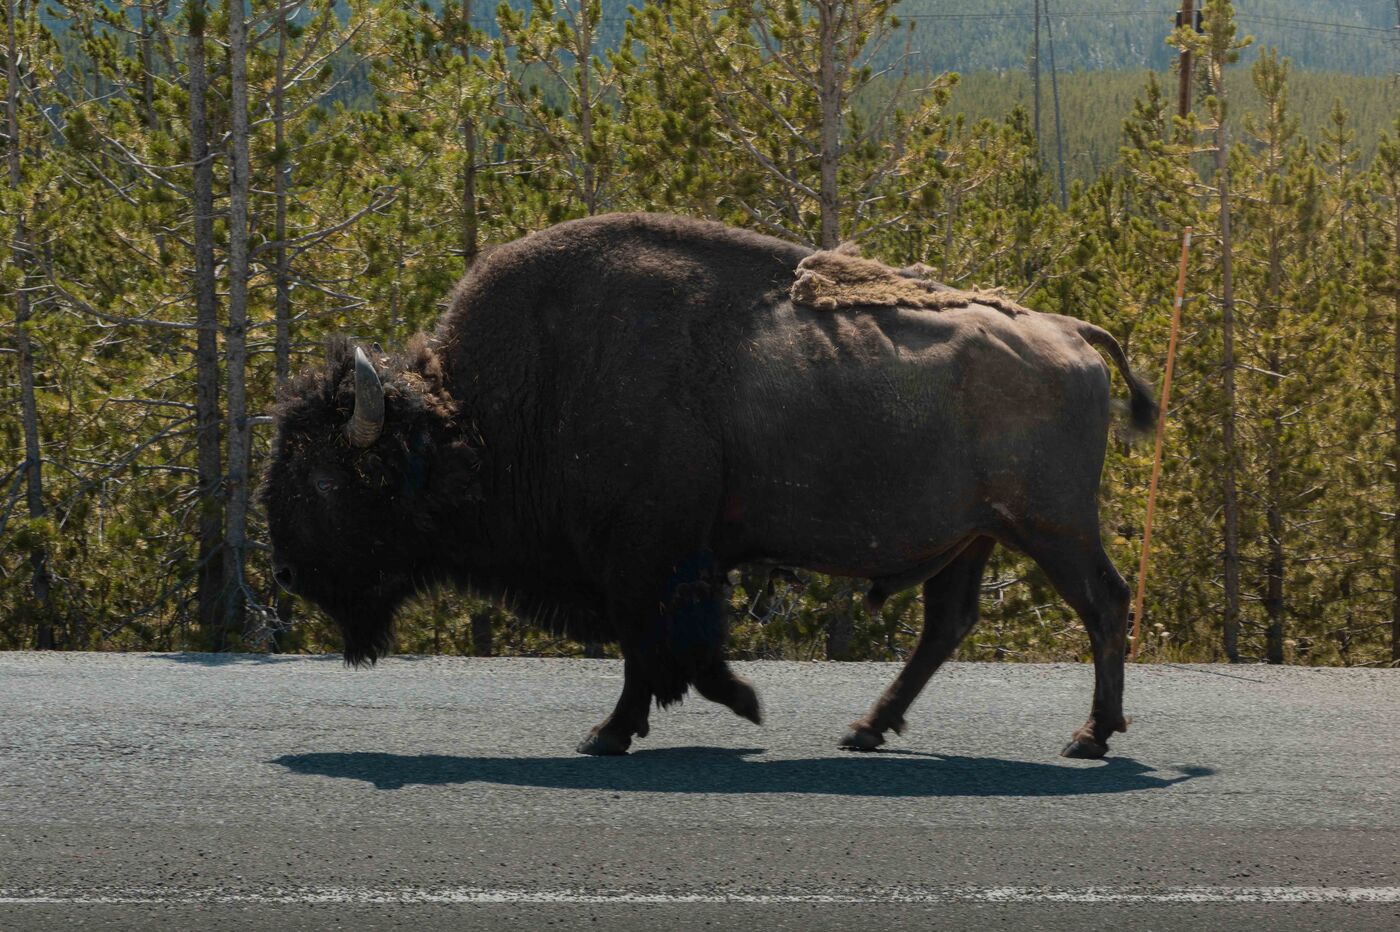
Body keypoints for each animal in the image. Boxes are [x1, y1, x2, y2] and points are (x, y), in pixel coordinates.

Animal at [262, 212, 1157, 759]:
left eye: (323, 478)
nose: (287, 572)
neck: (493, 408)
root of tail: (1072, 331)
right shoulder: (654, 563)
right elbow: (666, 647)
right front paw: (712, 706)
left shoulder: (643, 560)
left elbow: (651, 647)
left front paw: (629, 728)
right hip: (974, 536)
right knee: (949, 625)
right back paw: (866, 728)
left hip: (1051, 528)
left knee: (1103, 603)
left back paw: (1090, 736)